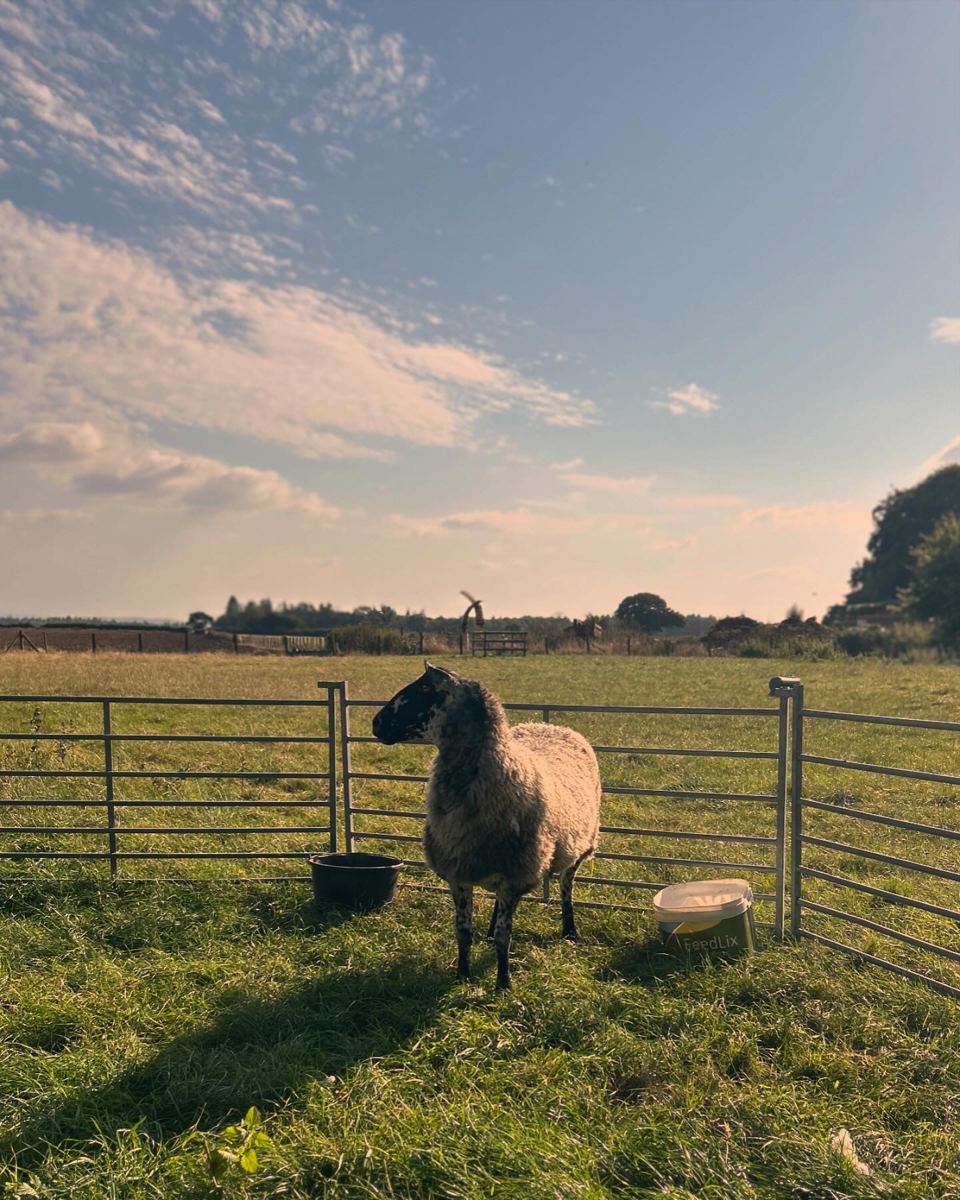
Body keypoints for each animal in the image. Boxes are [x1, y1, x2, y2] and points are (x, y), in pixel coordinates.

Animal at [372, 663, 601, 991]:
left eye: (425, 689)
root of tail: (554, 727)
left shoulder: (515, 875)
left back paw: (569, 929)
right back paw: (491, 931)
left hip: (578, 848)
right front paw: (462, 975)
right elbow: (463, 930)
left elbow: (506, 937)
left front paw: (503, 983)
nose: (376, 723)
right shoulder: (460, 872)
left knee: (566, 887)